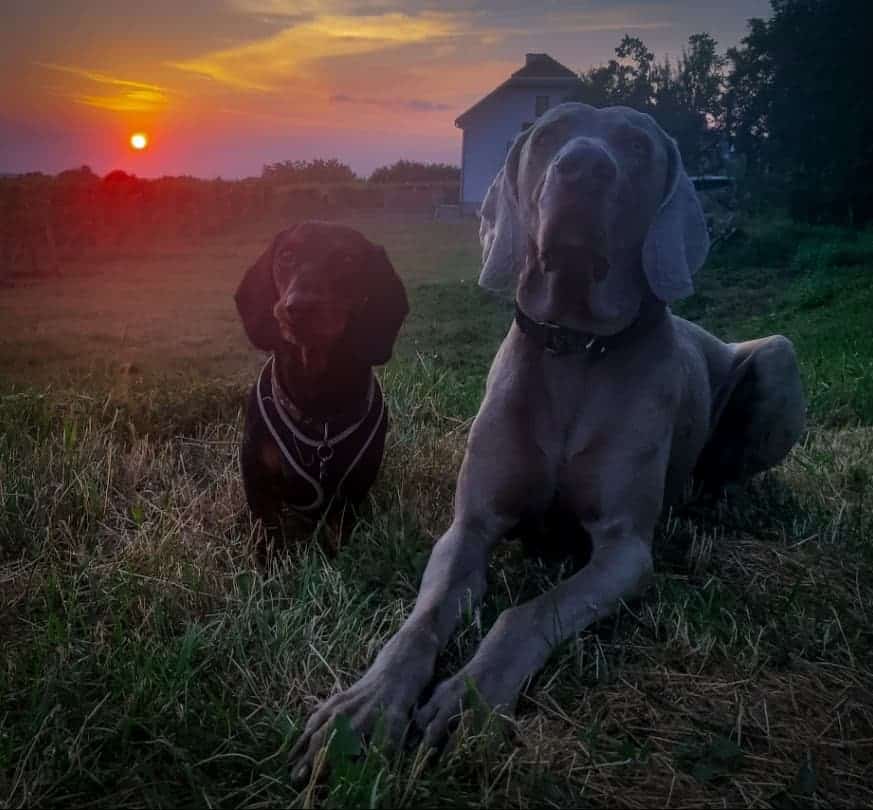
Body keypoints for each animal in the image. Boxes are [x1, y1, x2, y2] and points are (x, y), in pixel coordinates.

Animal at [288, 102, 804, 776]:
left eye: (637, 143)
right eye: (550, 133)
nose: (583, 166)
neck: (575, 349)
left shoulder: (624, 550)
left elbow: (526, 612)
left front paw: (469, 697)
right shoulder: (469, 526)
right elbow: (422, 621)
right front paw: (365, 706)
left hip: (778, 355)